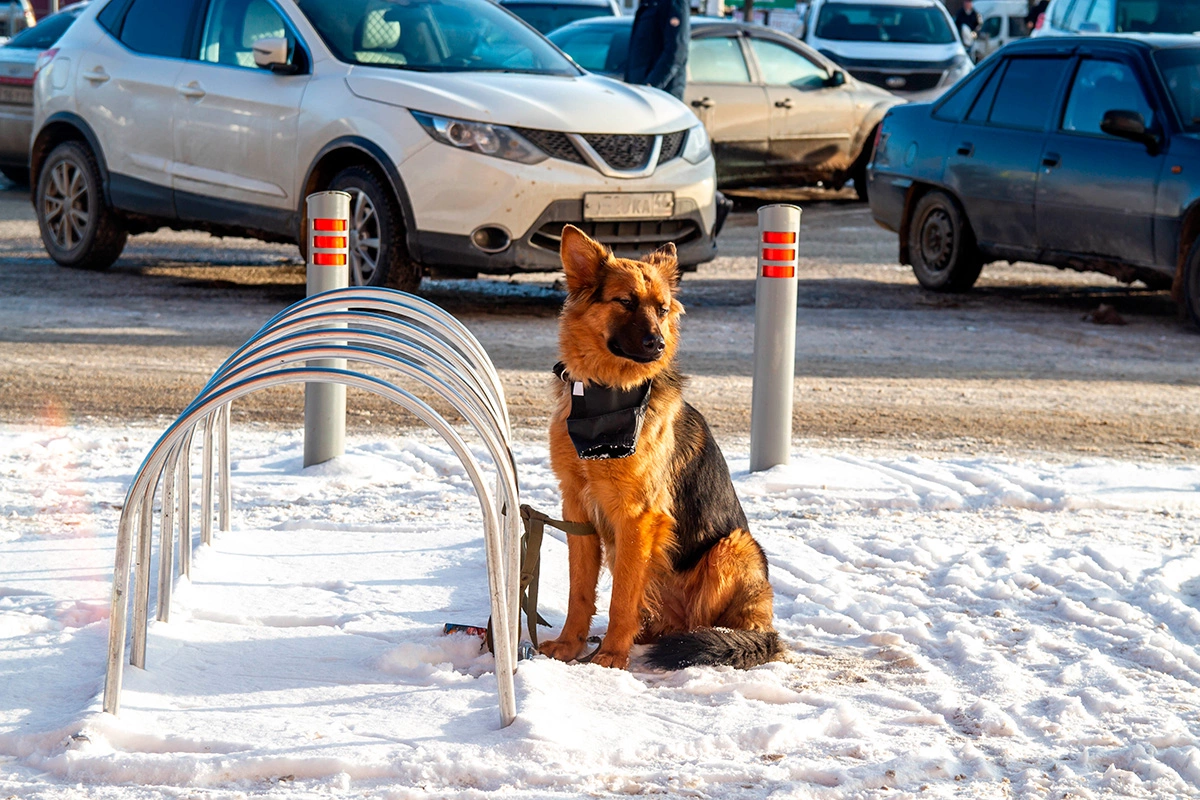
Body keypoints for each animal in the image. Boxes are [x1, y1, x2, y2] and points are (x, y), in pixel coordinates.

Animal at [540, 225, 782, 671]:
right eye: (625, 302)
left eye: (662, 309)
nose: (657, 344)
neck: (605, 397)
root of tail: (766, 628)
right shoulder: (577, 509)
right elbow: (579, 592)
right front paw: (569, 646)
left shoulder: (638, 516)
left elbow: (622, 598)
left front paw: (610, 656)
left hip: (732, 547)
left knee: (708, 624)